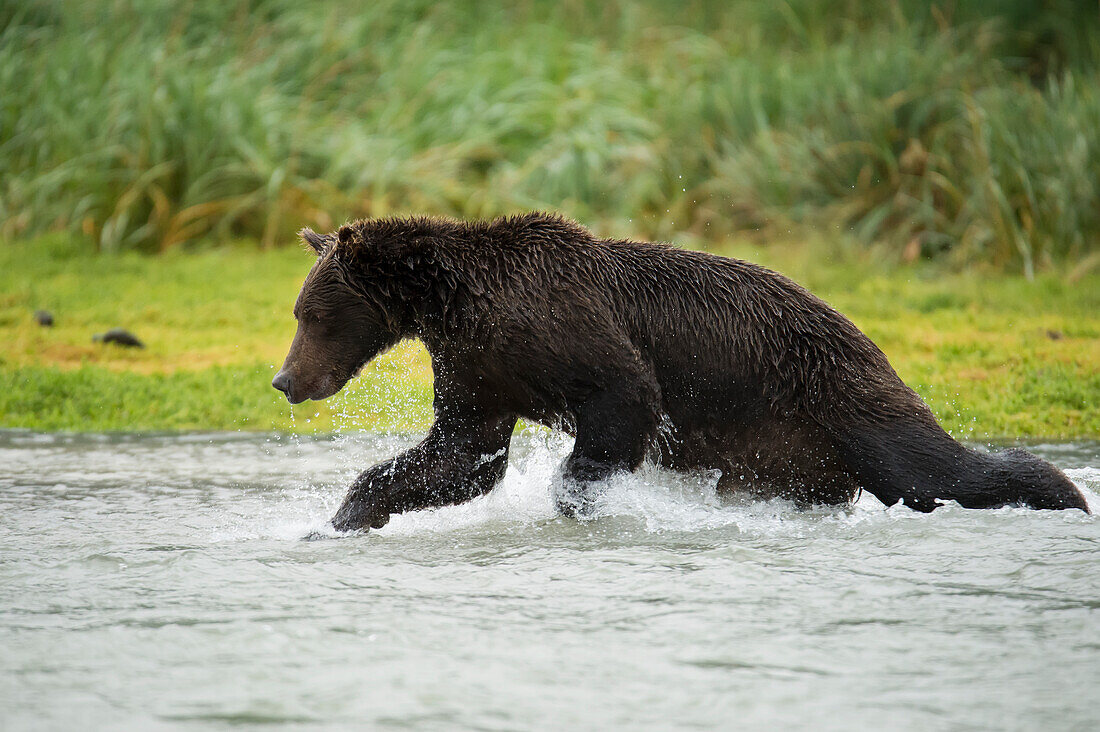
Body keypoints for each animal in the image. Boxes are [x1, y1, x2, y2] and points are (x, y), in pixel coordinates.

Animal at [270, 212, 1086, 530]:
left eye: (309, 314)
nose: (284, 380)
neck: (459, 302)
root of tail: (859, 332)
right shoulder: (480, 365)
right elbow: (462, 455)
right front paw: (340, 519)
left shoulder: (559, 326)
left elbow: (624, 395)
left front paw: (578, 498)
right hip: (782, 450)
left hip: (832, 389)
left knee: (927, 464)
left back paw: (1063, 493)